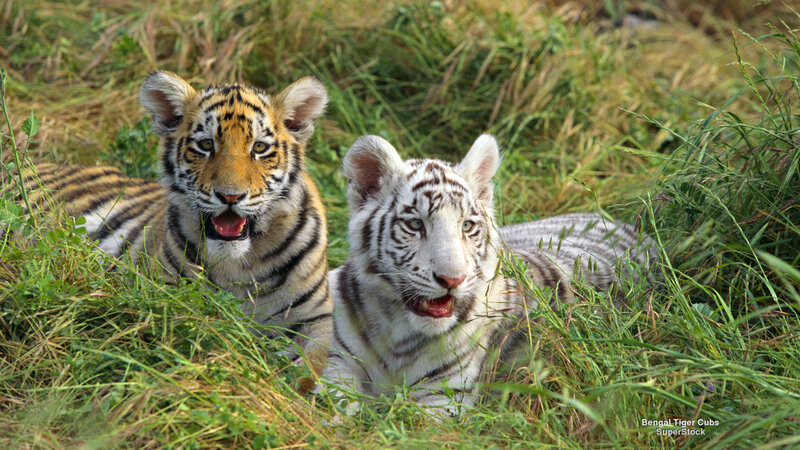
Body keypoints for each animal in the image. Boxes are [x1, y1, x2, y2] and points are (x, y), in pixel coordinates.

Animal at [3, 71, 333, 364]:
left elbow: (317, 363)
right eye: (205, 145)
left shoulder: (318, 316)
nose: (230, 197)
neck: (240, 263)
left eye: (260, 148)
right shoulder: (165, 297)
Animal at [320, 134, 657, 415]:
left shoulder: (443, 395)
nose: (452, 280)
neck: (397, 336)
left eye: (467, 226)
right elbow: (335, 402)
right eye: (415, 224)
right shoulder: (336, 360)